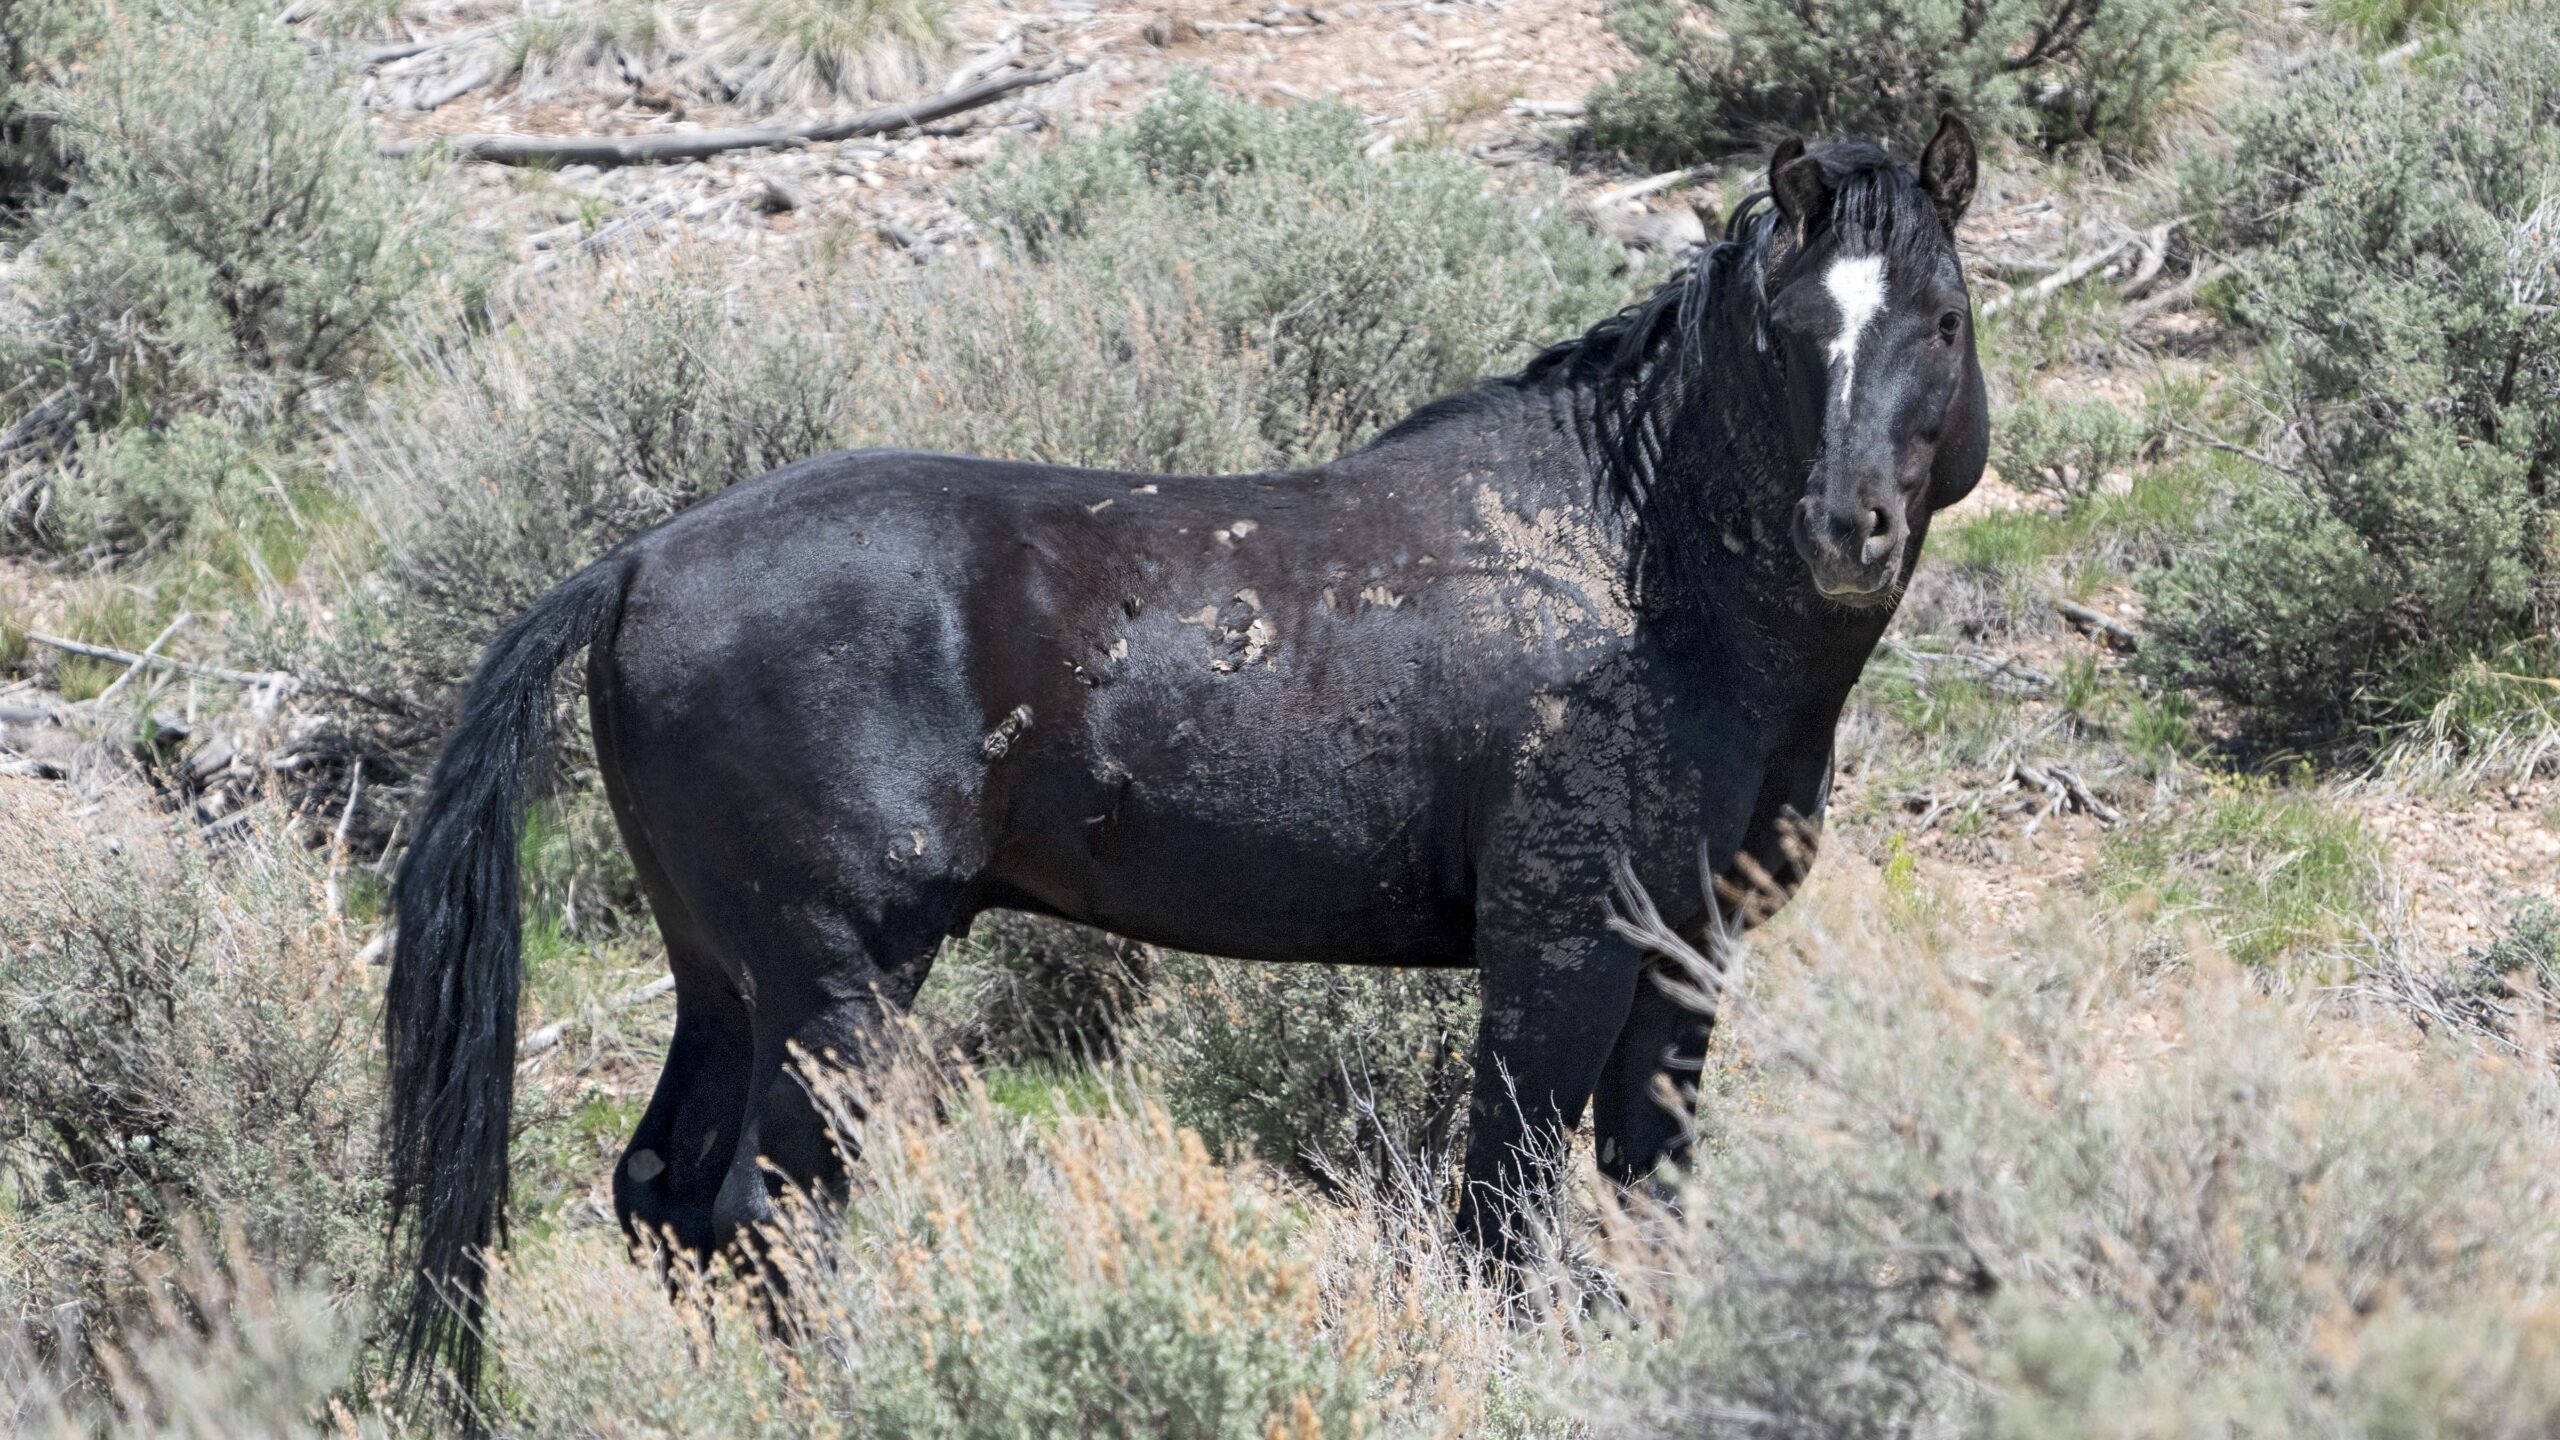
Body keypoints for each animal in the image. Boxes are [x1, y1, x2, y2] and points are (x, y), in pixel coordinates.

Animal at [378, 122, 1986, 1393]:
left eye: (1944, 319)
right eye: (1791, 329)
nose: (1846, 530)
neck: (1630, 566)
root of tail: (640, 562)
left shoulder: (1686, 952)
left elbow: (1648, 1194)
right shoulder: (1561, 947)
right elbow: (1506, 1209)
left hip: (724, 975)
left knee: (663, 1197)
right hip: (839, 983)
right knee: (765, 1221)